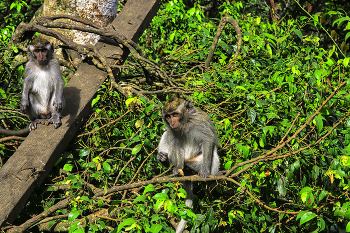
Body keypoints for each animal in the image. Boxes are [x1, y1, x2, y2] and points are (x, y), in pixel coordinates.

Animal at [158, 95, 220, 233]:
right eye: (168, 116)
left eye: (175, 114)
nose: (172, 122)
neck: (185, 122)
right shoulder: (172, 131)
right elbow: (174, 142)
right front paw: (178, 168)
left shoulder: (200, 121)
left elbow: (207, 141)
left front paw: (205, 171)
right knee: (166, 134)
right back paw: (167, 161)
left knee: (212, 150)